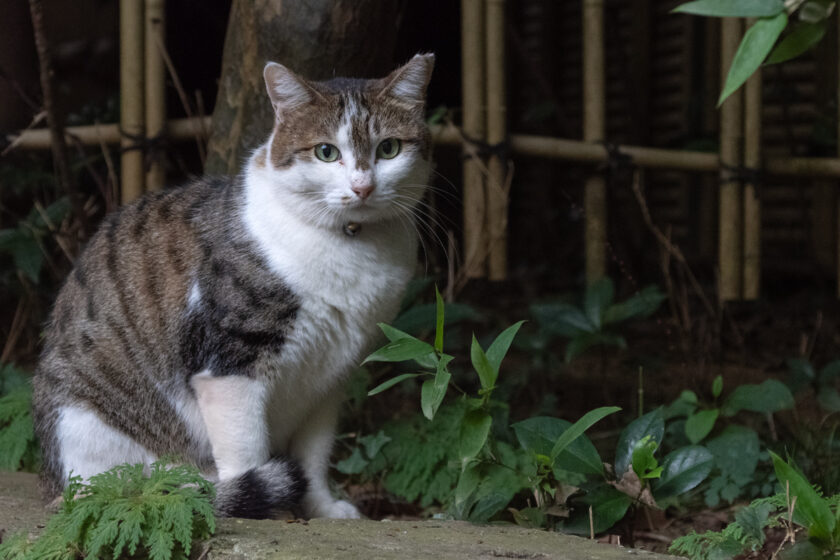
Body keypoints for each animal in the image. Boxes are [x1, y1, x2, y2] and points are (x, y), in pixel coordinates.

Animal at [30, 53, 436, 520]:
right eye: (326, 152)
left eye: (388, 148)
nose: (362, 186)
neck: (351, 247)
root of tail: (51, 484)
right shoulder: (230, 364)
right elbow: (246, 448)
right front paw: (266, 510)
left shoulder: (330, 377)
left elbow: (313, 455)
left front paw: (321, 509)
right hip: (86, 421)